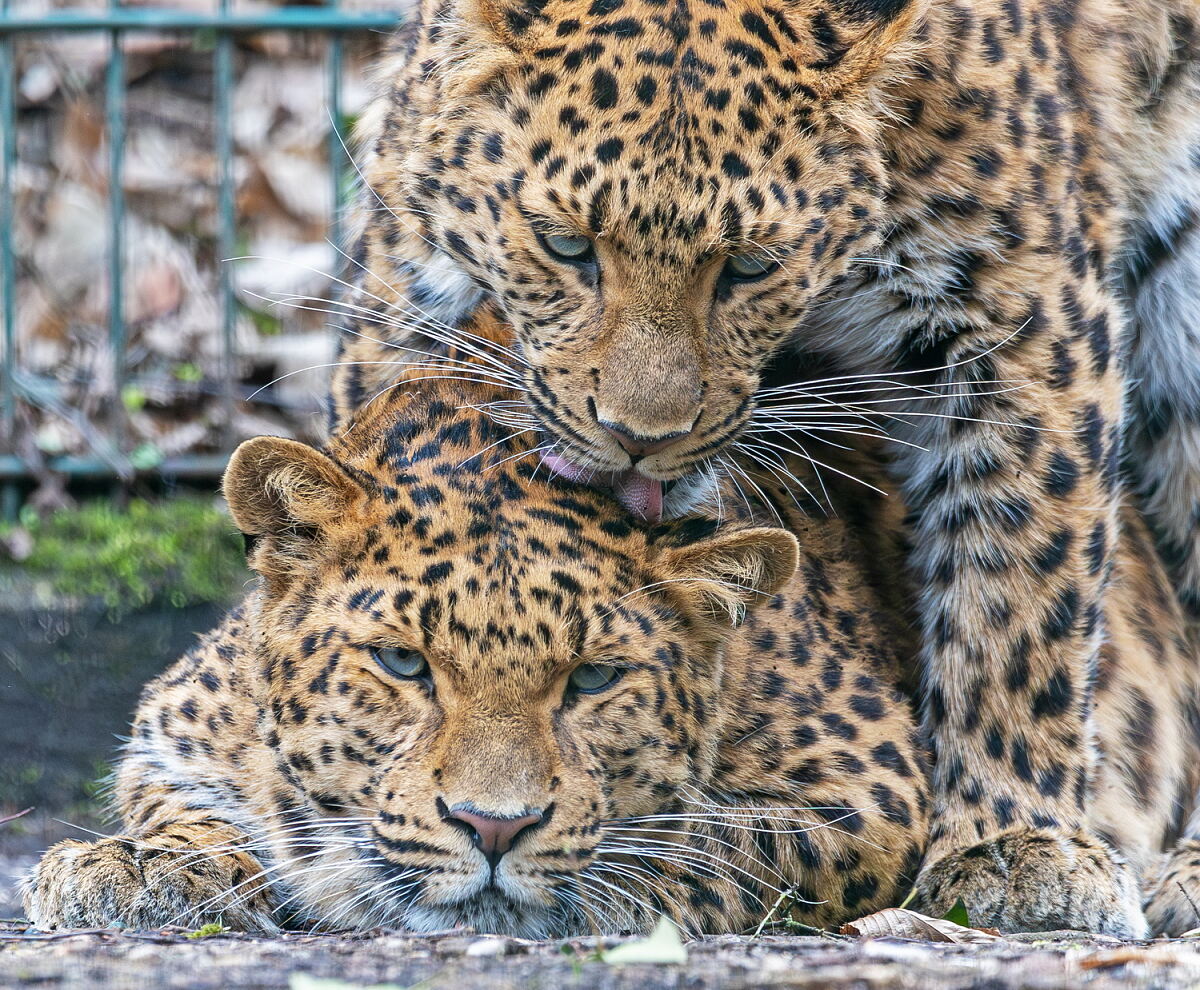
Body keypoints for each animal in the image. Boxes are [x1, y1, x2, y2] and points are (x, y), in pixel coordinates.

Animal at [21, 307, 1200, 936]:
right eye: (403, 664)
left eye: (593, 681)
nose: (491, 828)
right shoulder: (173, 731)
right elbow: (184, 806)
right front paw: (132, 866)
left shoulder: (867, 789)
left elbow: (709, 841)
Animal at [328, 0, 1200, 936]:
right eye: (565, 246)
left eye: (750, 267)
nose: (640, 437)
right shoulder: (407, 288)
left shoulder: (1025, 323)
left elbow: (1020, 597)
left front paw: (1015, 842)